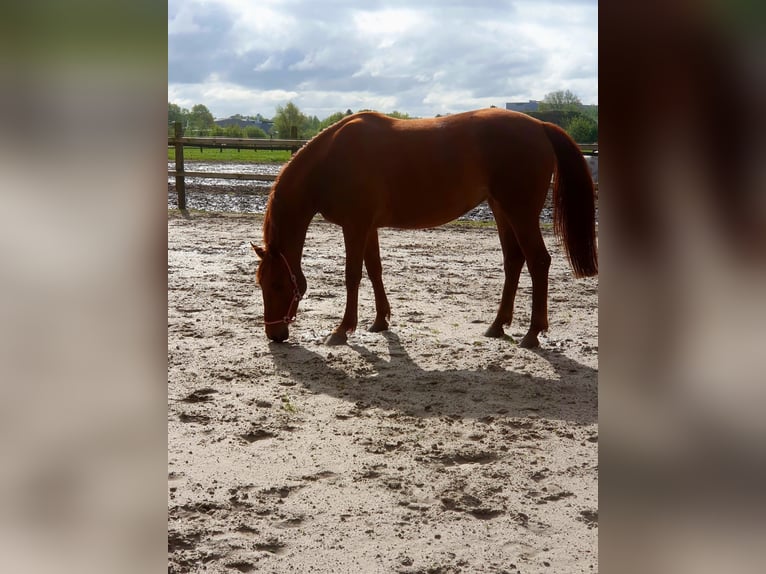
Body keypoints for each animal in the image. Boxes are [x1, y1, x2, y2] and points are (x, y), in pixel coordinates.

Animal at [252, 110, 600, 348]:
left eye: (278, 285)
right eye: (260, 284)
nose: (275, 333)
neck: (330, 161)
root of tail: (539, 127)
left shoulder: (355, 226)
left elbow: (353, 276)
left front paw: (342, 329)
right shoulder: (368, 227)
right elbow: (375, 270)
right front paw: (380, 321)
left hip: (521, 213)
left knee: (539, 262)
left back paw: (532, 333)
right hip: (502, 211)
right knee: (514, 261)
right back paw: (498, 325)